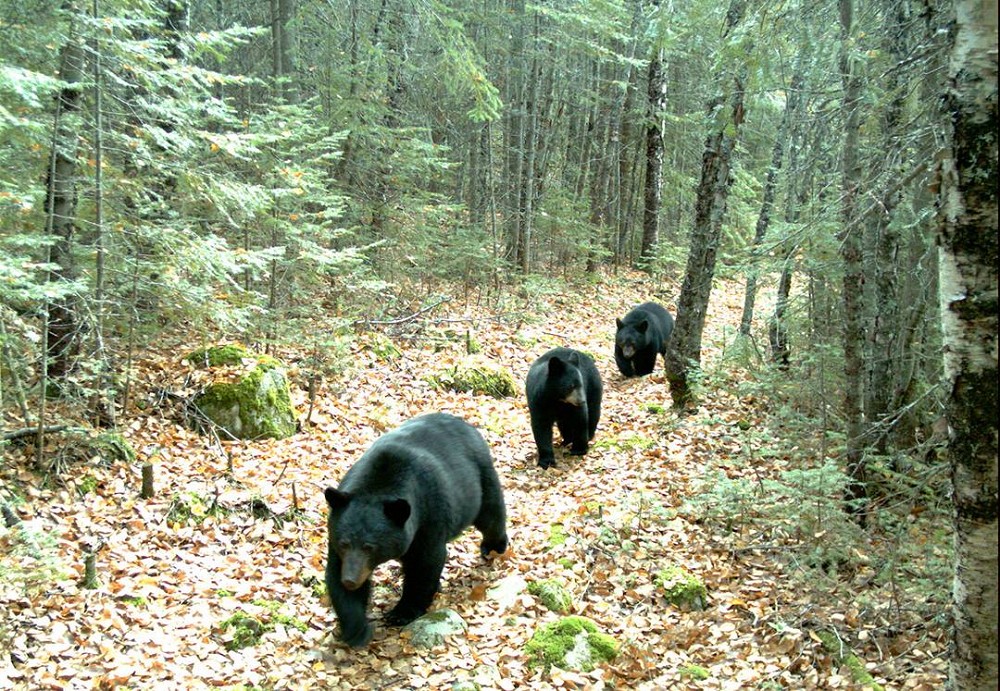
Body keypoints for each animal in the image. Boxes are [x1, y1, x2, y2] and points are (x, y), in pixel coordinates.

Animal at [324, 416, 508, 648]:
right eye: (344, 543)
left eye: (369, 546)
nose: (350, 580)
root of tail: (465, 423)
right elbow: (335, 572)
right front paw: (356, 629)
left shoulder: (428, 516)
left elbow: (424, 563)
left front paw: (400, 612)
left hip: (480, 476)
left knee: (490, 512)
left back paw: (494, 546)